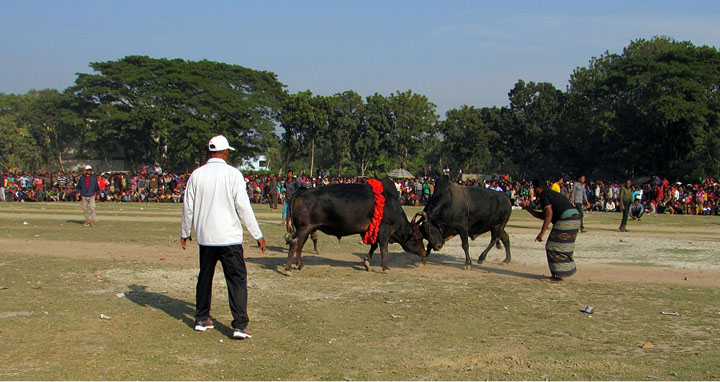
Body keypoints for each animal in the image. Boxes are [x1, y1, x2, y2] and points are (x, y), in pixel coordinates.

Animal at [286, 178, 424, 272]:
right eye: (418, 238)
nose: (424, 253)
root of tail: (302, 191)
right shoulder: (384, 229)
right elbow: (383, 248)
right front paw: (385, 267)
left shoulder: (372, 231)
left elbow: (374, 246)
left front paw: (367, 263)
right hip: (304, 228)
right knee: (294, 245)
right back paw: (288, 268)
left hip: (307, 229)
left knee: (299, 245)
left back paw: (299, 265)